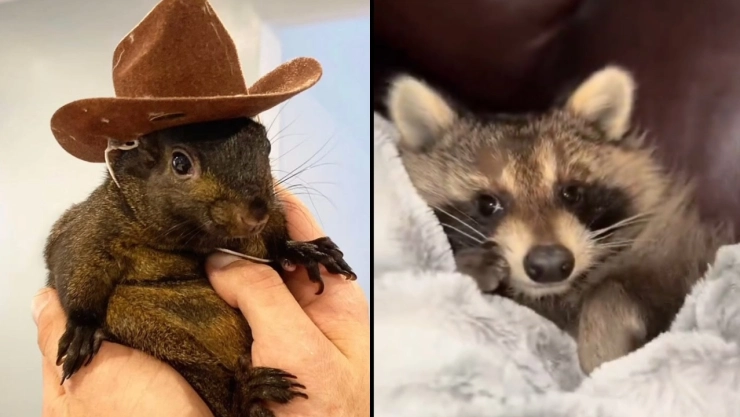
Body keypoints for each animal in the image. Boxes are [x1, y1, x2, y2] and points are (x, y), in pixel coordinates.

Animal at [44, 116, 356, 417]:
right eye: (180, 163)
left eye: (266, 146)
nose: (256, 213)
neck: (193, 240)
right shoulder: (93, 226)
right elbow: (76, 262)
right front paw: (82, 328)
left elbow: (275, 244)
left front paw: (304, 250)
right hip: (153, 333)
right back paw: (246, 394)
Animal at [387, 67, 735, 373]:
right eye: (487, 204)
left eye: (571, 192)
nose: (551, 264)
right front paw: (469, 265)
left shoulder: (678, 249)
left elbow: (614, 292)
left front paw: (604, 342)